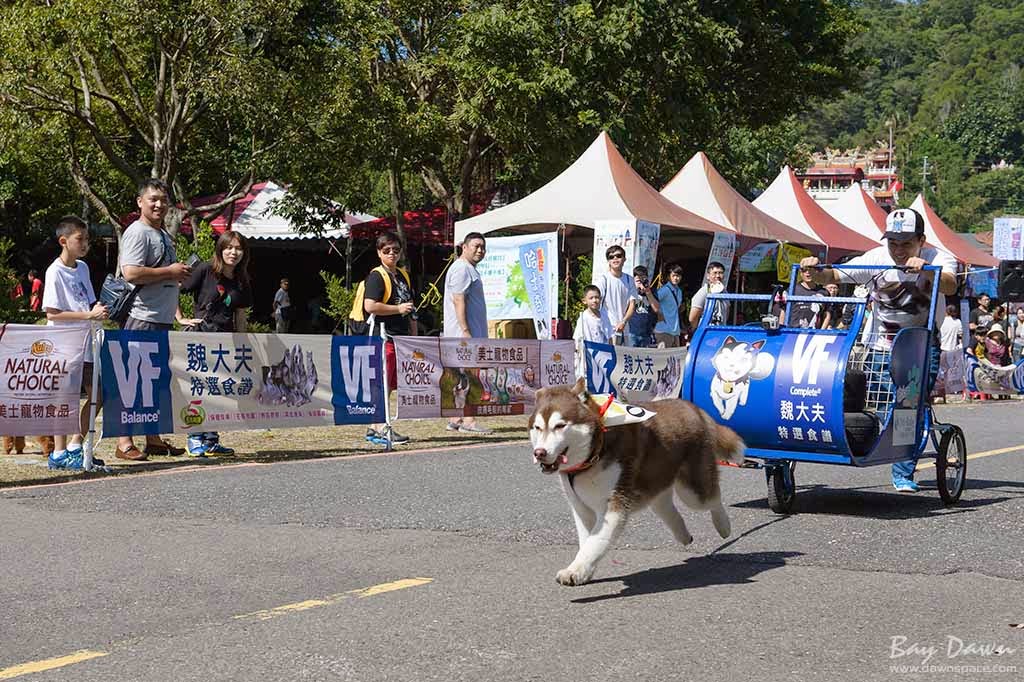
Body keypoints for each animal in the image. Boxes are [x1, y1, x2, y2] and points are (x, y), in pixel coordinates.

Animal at [528, 376, 745, 585]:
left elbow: (594, 542)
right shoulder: (580, 507)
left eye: (560, 425)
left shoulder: (614, 505)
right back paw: (683, 534)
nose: (539, 453)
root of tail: (693, 408)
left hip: (692, 491)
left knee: (713, 498)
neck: (593, 454)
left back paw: (723, 525)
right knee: (664, 505)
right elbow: (588, 541)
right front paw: (583, 571)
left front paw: (575, 570)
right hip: (656, 479)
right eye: (538, 427)